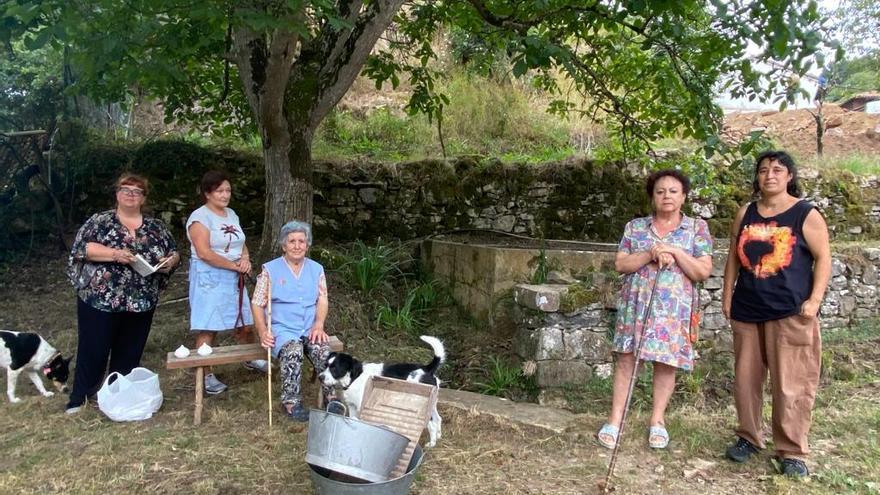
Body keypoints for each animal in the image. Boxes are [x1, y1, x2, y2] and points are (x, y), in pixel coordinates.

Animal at [318, 336, 446, 448]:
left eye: (334, 368)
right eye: (325, 365)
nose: (320, 377)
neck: (355, 377)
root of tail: (427, 369)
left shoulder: (361, 407)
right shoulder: (352, 406)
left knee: (432, 424)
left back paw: (432, 443)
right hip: (433, 404)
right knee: (438, 418)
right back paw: (438, 436)